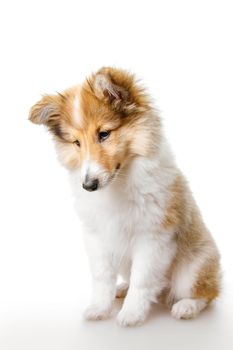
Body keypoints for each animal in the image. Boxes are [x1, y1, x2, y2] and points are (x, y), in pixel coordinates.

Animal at [29, 67, 220, 326]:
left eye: (104, 134)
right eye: (76, 142)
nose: (88, 185)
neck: (118, 183)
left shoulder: (153, 237)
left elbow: (142, 279)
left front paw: (131, 315)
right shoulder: (96, 236)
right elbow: (102, 277)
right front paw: (100, 308)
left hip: (194, 267)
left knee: (206, 292)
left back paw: (186, 306)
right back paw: (122, 289)